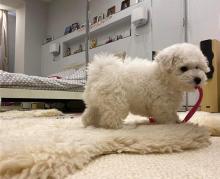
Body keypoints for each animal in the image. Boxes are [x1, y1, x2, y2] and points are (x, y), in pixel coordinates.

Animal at [81, 42, 209, 128]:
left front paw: (177, 121)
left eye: (197, 67)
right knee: (111, 116)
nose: (198, 79)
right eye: (183, 68)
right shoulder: (162, 103)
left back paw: (90, 124)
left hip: (96, 101)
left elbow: (172, 113)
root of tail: (101, 71)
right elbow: (166, 115)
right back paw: (119, 126)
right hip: (115, 100)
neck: (164, 77)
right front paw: (172, 124)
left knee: (90, 113)